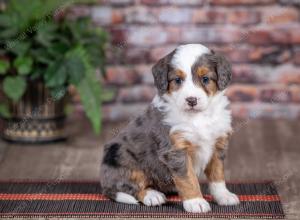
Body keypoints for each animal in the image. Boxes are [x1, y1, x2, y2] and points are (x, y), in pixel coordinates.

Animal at [99, 43, 240, 213]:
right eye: (177, 80)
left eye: (205, 79)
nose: (191, 100)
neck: (197, 117)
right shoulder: (176, 149)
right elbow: (188, 178)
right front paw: (196, 202)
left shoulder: (217, 145)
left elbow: (217, 175)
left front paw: (224, 196)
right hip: (122, 158)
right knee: (130, 186)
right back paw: (152, 195)